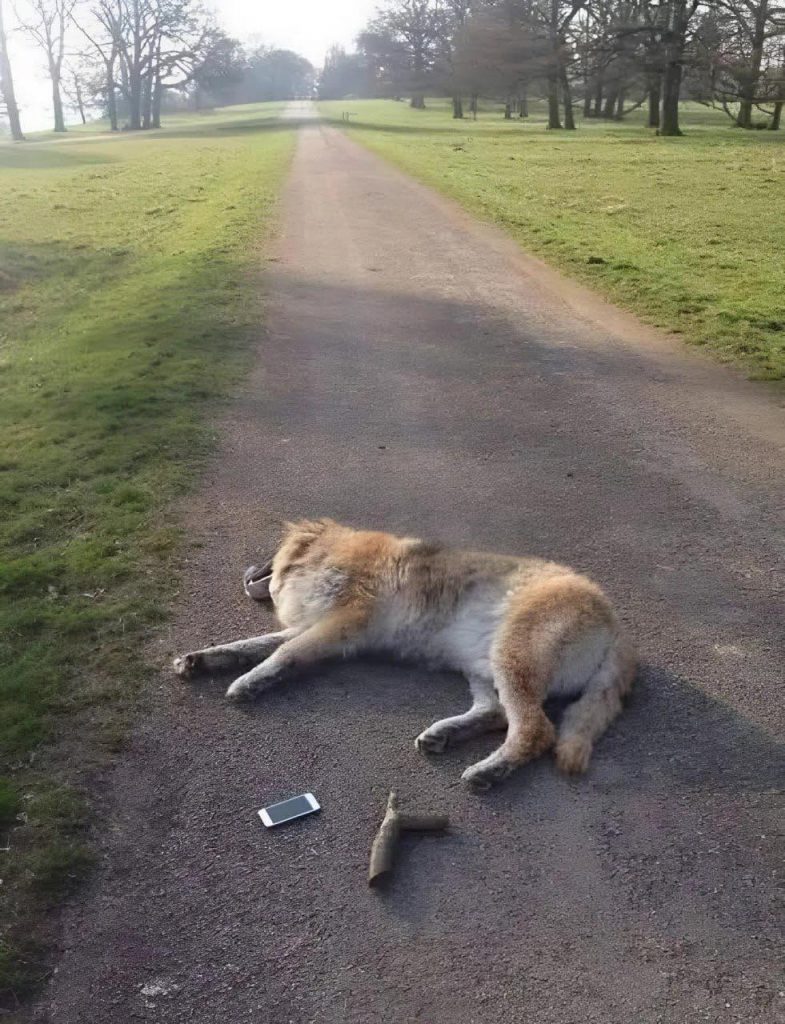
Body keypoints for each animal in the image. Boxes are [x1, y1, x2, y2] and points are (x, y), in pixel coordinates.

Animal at [173, 519, 636, 790]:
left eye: (268, 557)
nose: (246, 571)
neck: (325, 554)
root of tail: (616, 626)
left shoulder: (338, 627)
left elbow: (282, 654)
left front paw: (249, 682)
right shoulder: (312, 627)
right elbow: (246, 646)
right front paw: (204, 659)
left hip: (512, 656)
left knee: (535, 730)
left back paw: (488, 771)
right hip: (483, 666)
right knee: (497, 714)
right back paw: (447, 735)